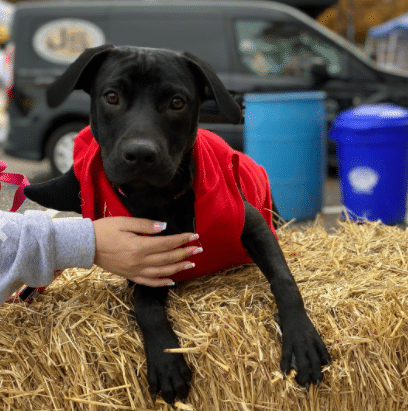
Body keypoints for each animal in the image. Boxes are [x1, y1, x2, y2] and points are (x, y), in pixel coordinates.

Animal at [24, 45, 328, 408]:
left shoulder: (255, 228)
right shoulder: (144, 265)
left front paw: (301, 339)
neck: (161, 200)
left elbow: (284, 280)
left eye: (177, 103)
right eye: (111, 97)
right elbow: (145, 306)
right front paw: (166, 360)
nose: (140, 154)